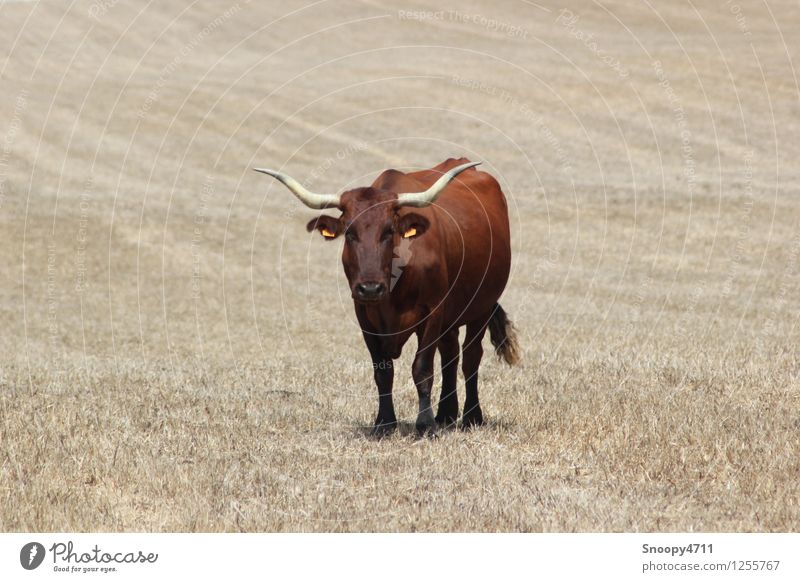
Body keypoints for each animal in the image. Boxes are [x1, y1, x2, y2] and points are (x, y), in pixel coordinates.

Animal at [256, 157, 520, 436]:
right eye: (349, 232)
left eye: (388, 231)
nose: (371, 288)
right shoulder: (364, 315)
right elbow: (383, 372)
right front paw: (384, 423)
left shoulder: (432, 312)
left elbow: (422, 368)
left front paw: (425, 424)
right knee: (450, 355)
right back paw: (446, 414)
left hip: (481, 307)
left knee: (471, 357)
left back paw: (471, 416)